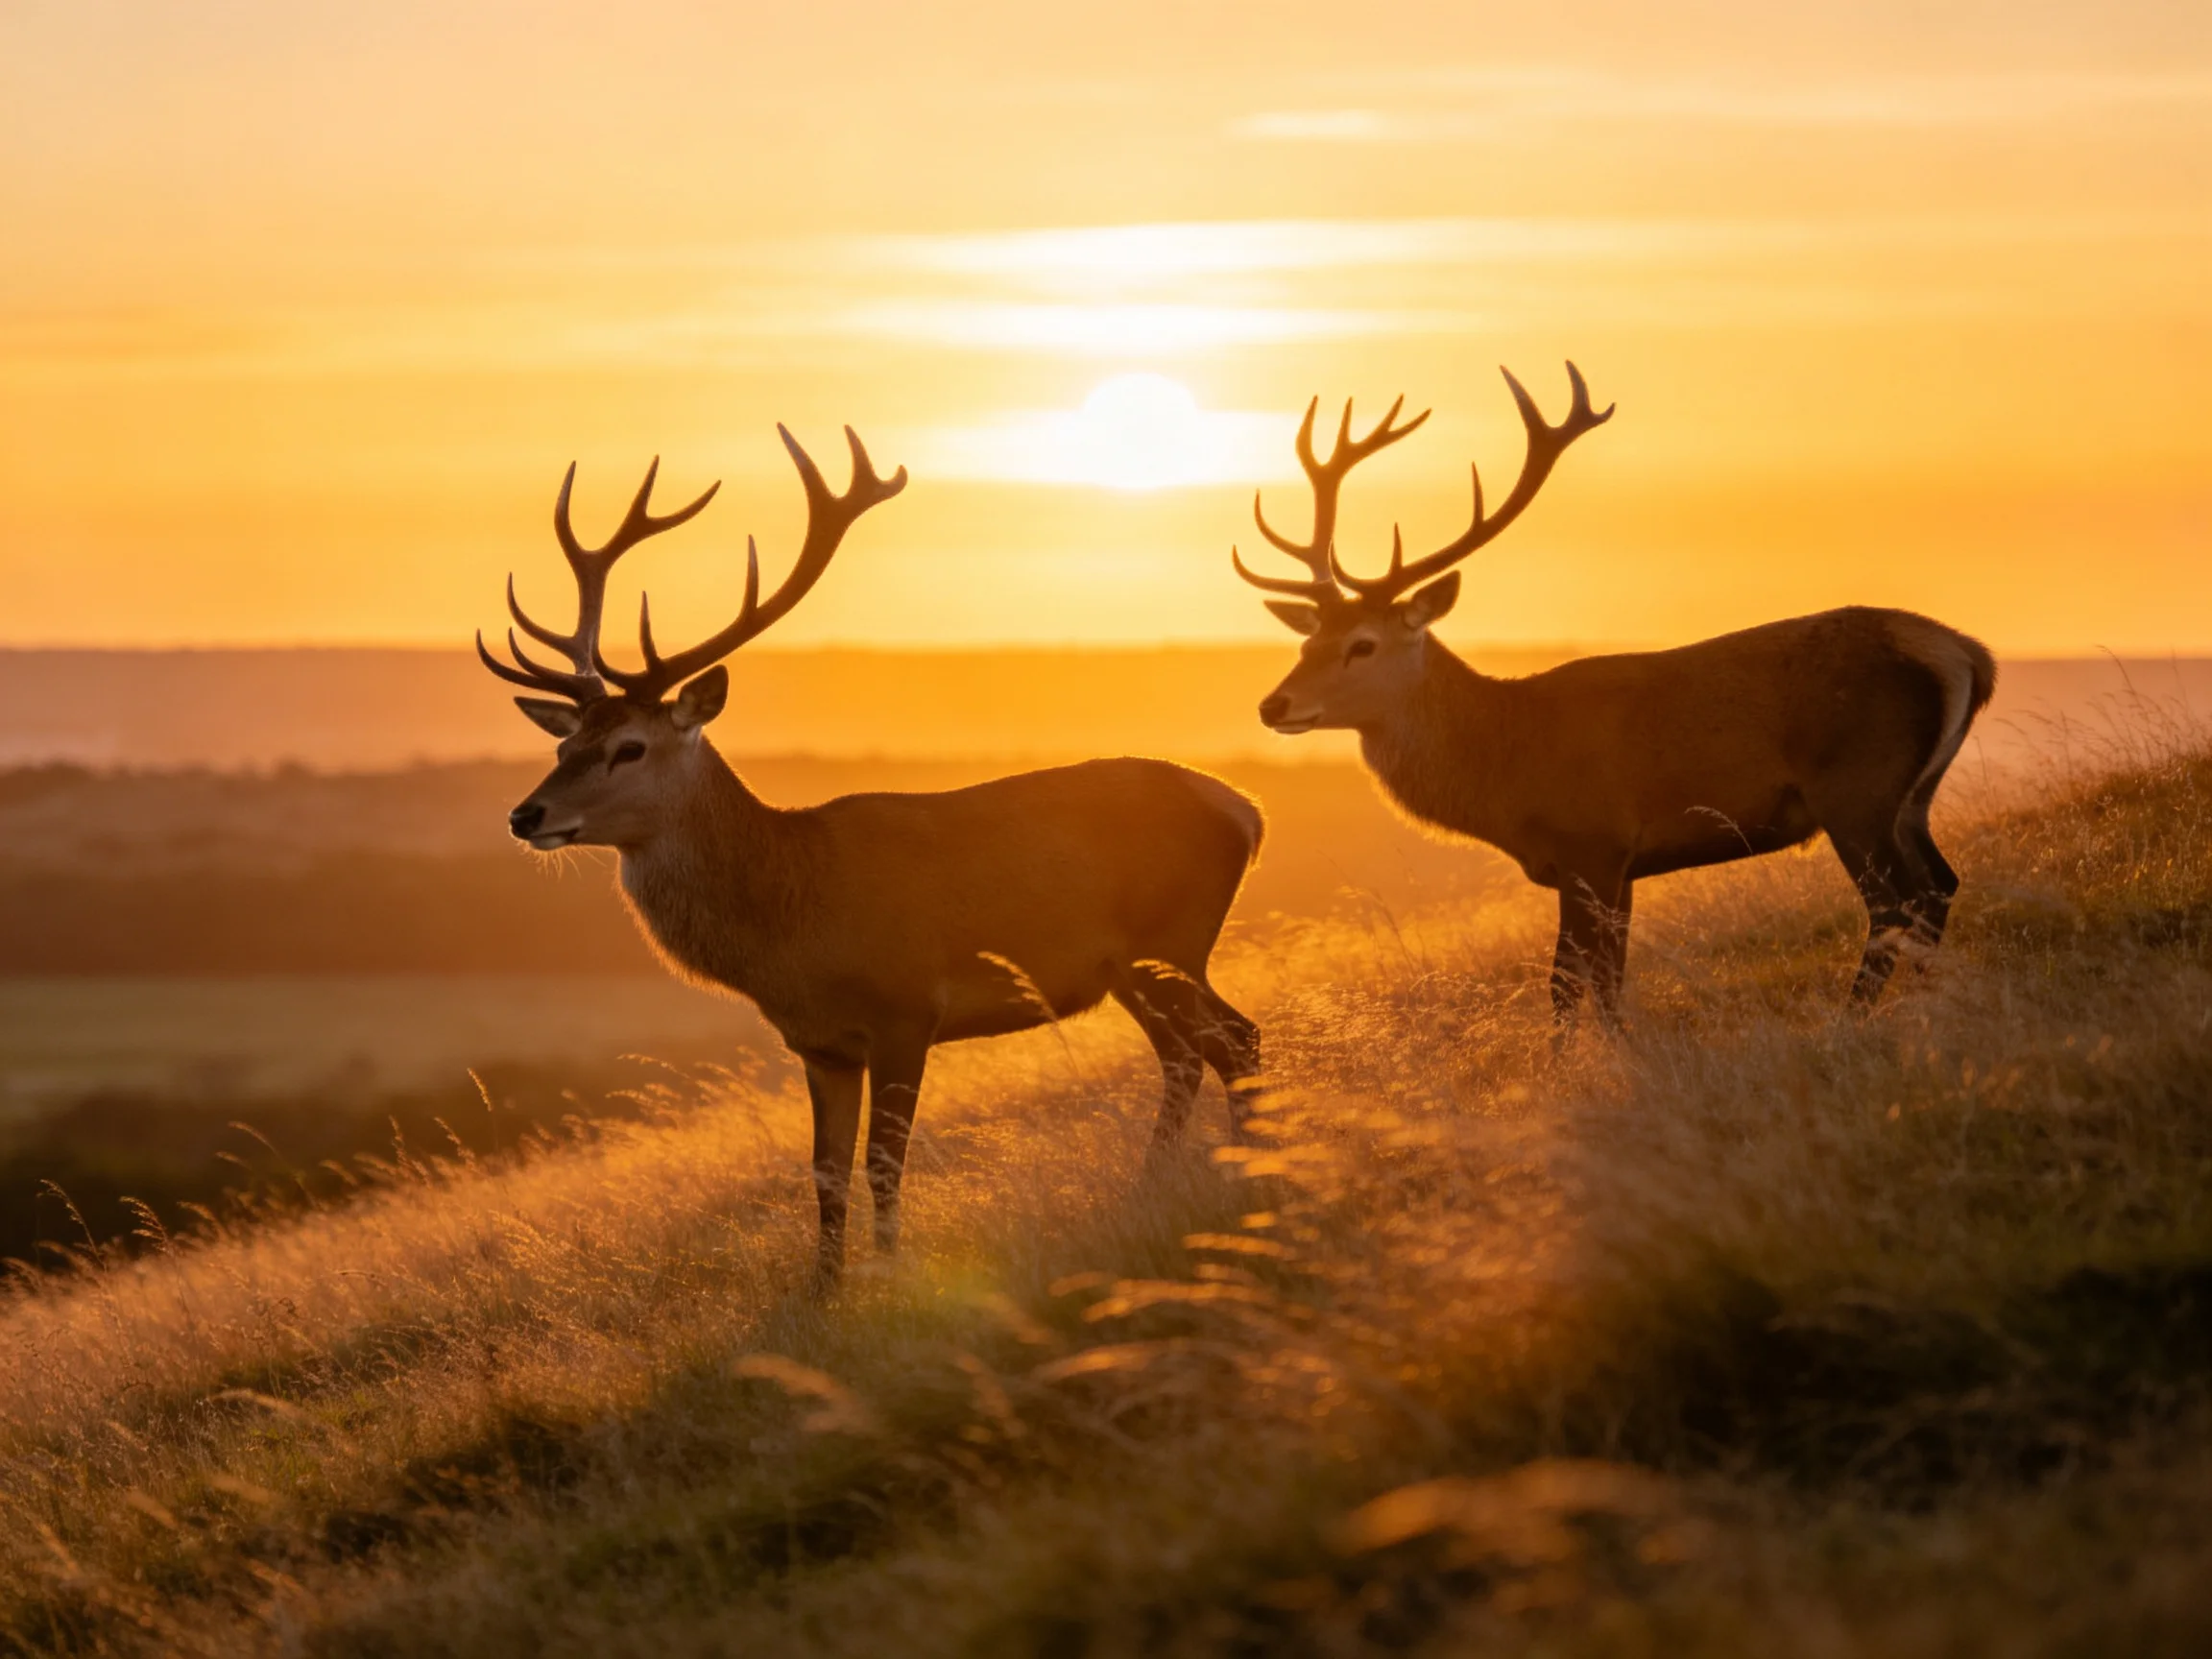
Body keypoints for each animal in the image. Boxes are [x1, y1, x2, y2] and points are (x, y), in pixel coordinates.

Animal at [479, 425, 1264, 1289]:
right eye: (564, 744)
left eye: (630, 747)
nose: (525, 815)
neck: (795, 921)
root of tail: (1246, 811)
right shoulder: (820, 1044)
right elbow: (825, 1171)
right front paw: (824, 1290)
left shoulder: (907, 1007)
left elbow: (884, 1162)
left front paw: (890, 1275)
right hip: (1136, 967)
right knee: (1202, 1050)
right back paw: (1191, 1182)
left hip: (1171, 942)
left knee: (1228, 1043)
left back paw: (1220, 1183)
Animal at [1233, 363, 1995, 1023]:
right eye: (1306, 642)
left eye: (1362, 644)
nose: (1274, 706)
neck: (1507, 769)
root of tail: (1966, 654)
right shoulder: (1619, 865)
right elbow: (1608, 981)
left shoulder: (1592, 843)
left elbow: (1571, 983)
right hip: (1910, 795)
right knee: (1939, 886)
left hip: (1856, 785)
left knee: (1897, 905)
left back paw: (1854, 1018)